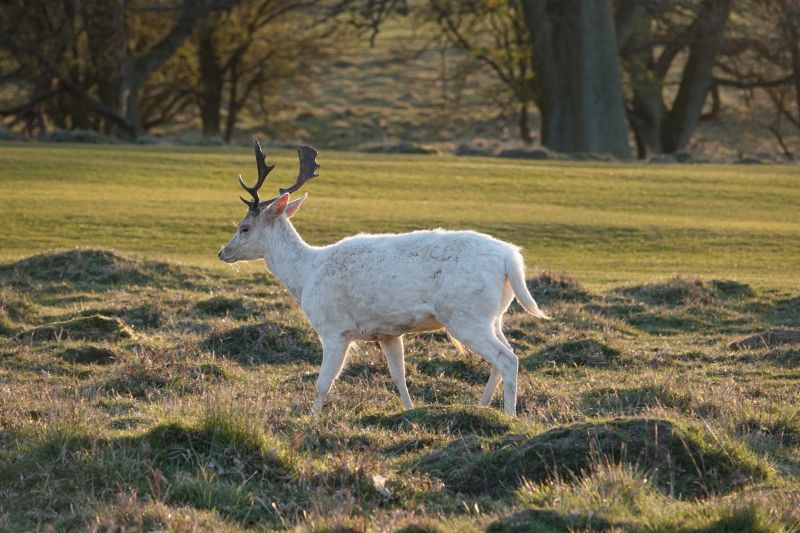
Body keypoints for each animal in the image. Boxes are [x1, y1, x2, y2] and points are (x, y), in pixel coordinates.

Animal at [218, 140, 551, 417]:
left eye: (244, 227)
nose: (223, 252)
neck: (305, 275)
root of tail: (510, 258)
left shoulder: (334, 328)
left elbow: (324, 381)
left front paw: (310, 418)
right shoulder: (388, 332)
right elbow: (398, 375)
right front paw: (410, 410)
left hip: (466, 315)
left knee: (507, 358)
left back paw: (509, 416)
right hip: (494, 314)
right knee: (505, 355)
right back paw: (481, 407)